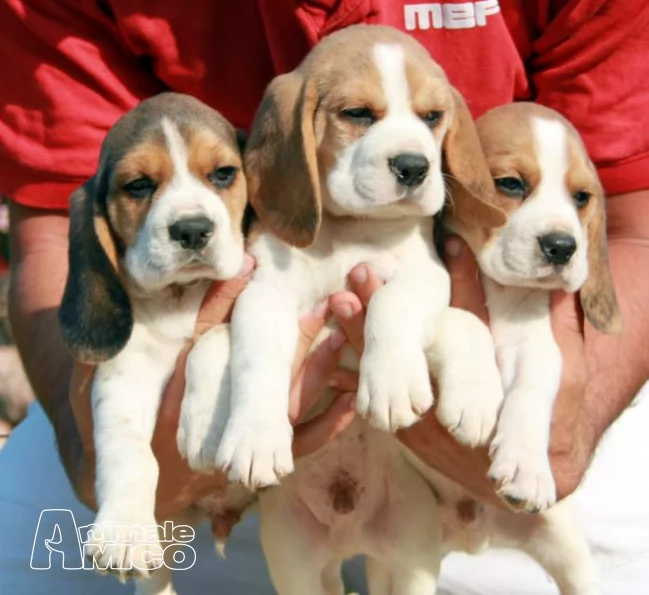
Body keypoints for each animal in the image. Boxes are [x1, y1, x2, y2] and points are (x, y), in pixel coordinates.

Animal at [57, 92, 253, 592]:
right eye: (139, 185)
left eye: (223, 174)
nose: (192, 229)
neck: (179, 297)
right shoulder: (122, 374)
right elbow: (129, 451)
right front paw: (124, 532)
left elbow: (214, 335)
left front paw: (204, 427)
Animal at [446, 101, 624, 512]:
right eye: (511, 183)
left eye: (581, 198)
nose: (561, 247)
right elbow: (466, 321)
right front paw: (474, 397)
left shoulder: (532, 341)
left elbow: (533, 385)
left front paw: (526, 468)